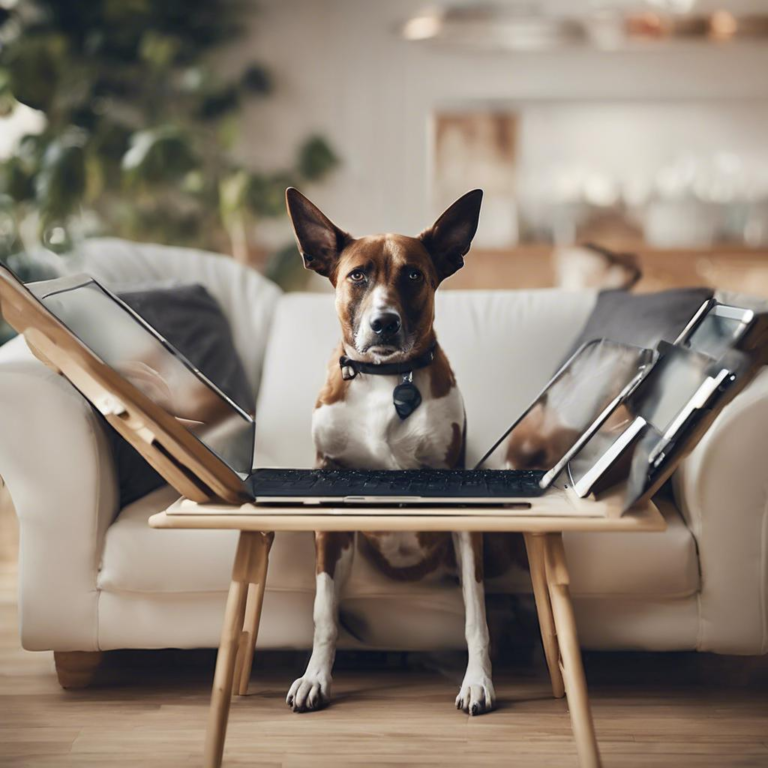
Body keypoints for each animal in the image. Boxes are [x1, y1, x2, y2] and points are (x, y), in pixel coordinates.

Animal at [284, 189, 496, 716]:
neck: (385, 378)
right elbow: (324, 612)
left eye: (413, 275)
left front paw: (478, 681)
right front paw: (315, 677)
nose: (384, 323)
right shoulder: (329, 508)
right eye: (358, 275)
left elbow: (476, 614)